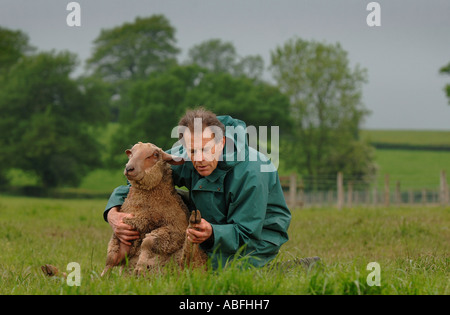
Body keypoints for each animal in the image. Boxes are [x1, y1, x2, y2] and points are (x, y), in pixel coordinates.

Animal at [101, 142, 207, 276]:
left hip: (191, 259)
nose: (129, 168)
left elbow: (148, 242)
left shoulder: (175, 230)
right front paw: (102, 277)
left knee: (188, 257)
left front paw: (140, 267)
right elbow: (112, 256)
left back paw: (195, 222)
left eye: (155, 154)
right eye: (131, 153)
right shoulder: (127, 229)